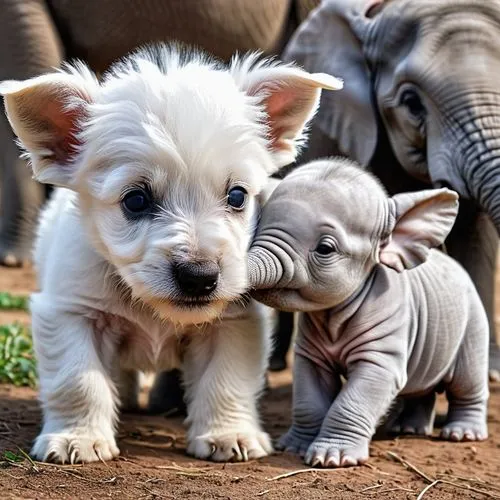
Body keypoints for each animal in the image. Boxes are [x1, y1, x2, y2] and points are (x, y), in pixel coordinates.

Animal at [0, 44, 340, 464]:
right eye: (136, 200)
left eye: (237, 196)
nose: (200, 275)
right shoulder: (71, 313)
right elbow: (78, 381)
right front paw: (77, 439)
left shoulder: (233, 323)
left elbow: (226, 380)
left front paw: (229, 434)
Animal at [250, 160, 488, 468]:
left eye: (325, 249)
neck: (334, 314)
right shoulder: (309, 353)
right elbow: (308, 400)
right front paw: (294, 447)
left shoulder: (381, 355)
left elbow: (353, 401)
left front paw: (333, 459)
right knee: (420, 384)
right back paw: (409, 430)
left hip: (473, 317)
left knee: (466, 381)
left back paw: (462, 434)